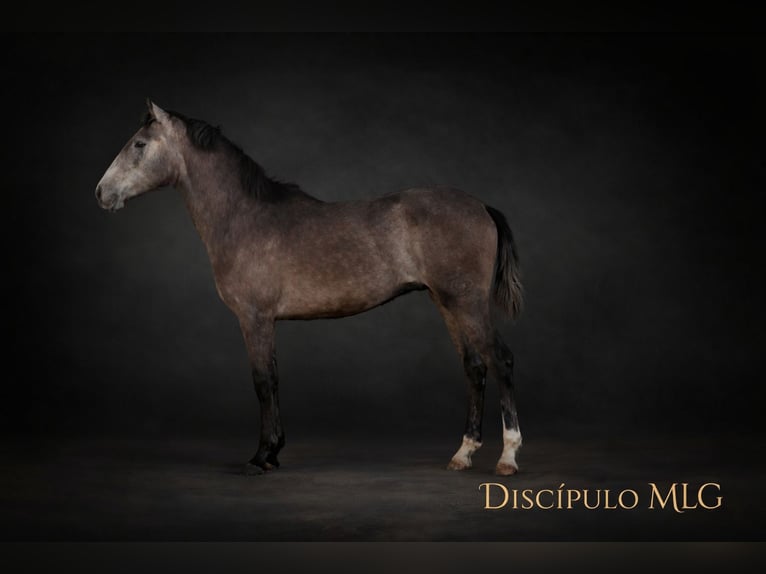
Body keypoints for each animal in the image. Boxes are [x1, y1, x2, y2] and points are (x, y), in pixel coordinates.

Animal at [95, 100, 524, 476]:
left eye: (139, 144)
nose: (101, 192)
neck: (244, 218)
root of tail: (481, 206)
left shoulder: (254, 318)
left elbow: (262, 381)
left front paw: (260, 457)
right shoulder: (265, 321)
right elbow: (273, 377)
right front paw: (273, 453)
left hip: (466, 302)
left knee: (500, 360)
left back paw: (508, 457)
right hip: (446, 302)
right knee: (474, 366)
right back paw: (463, 454)